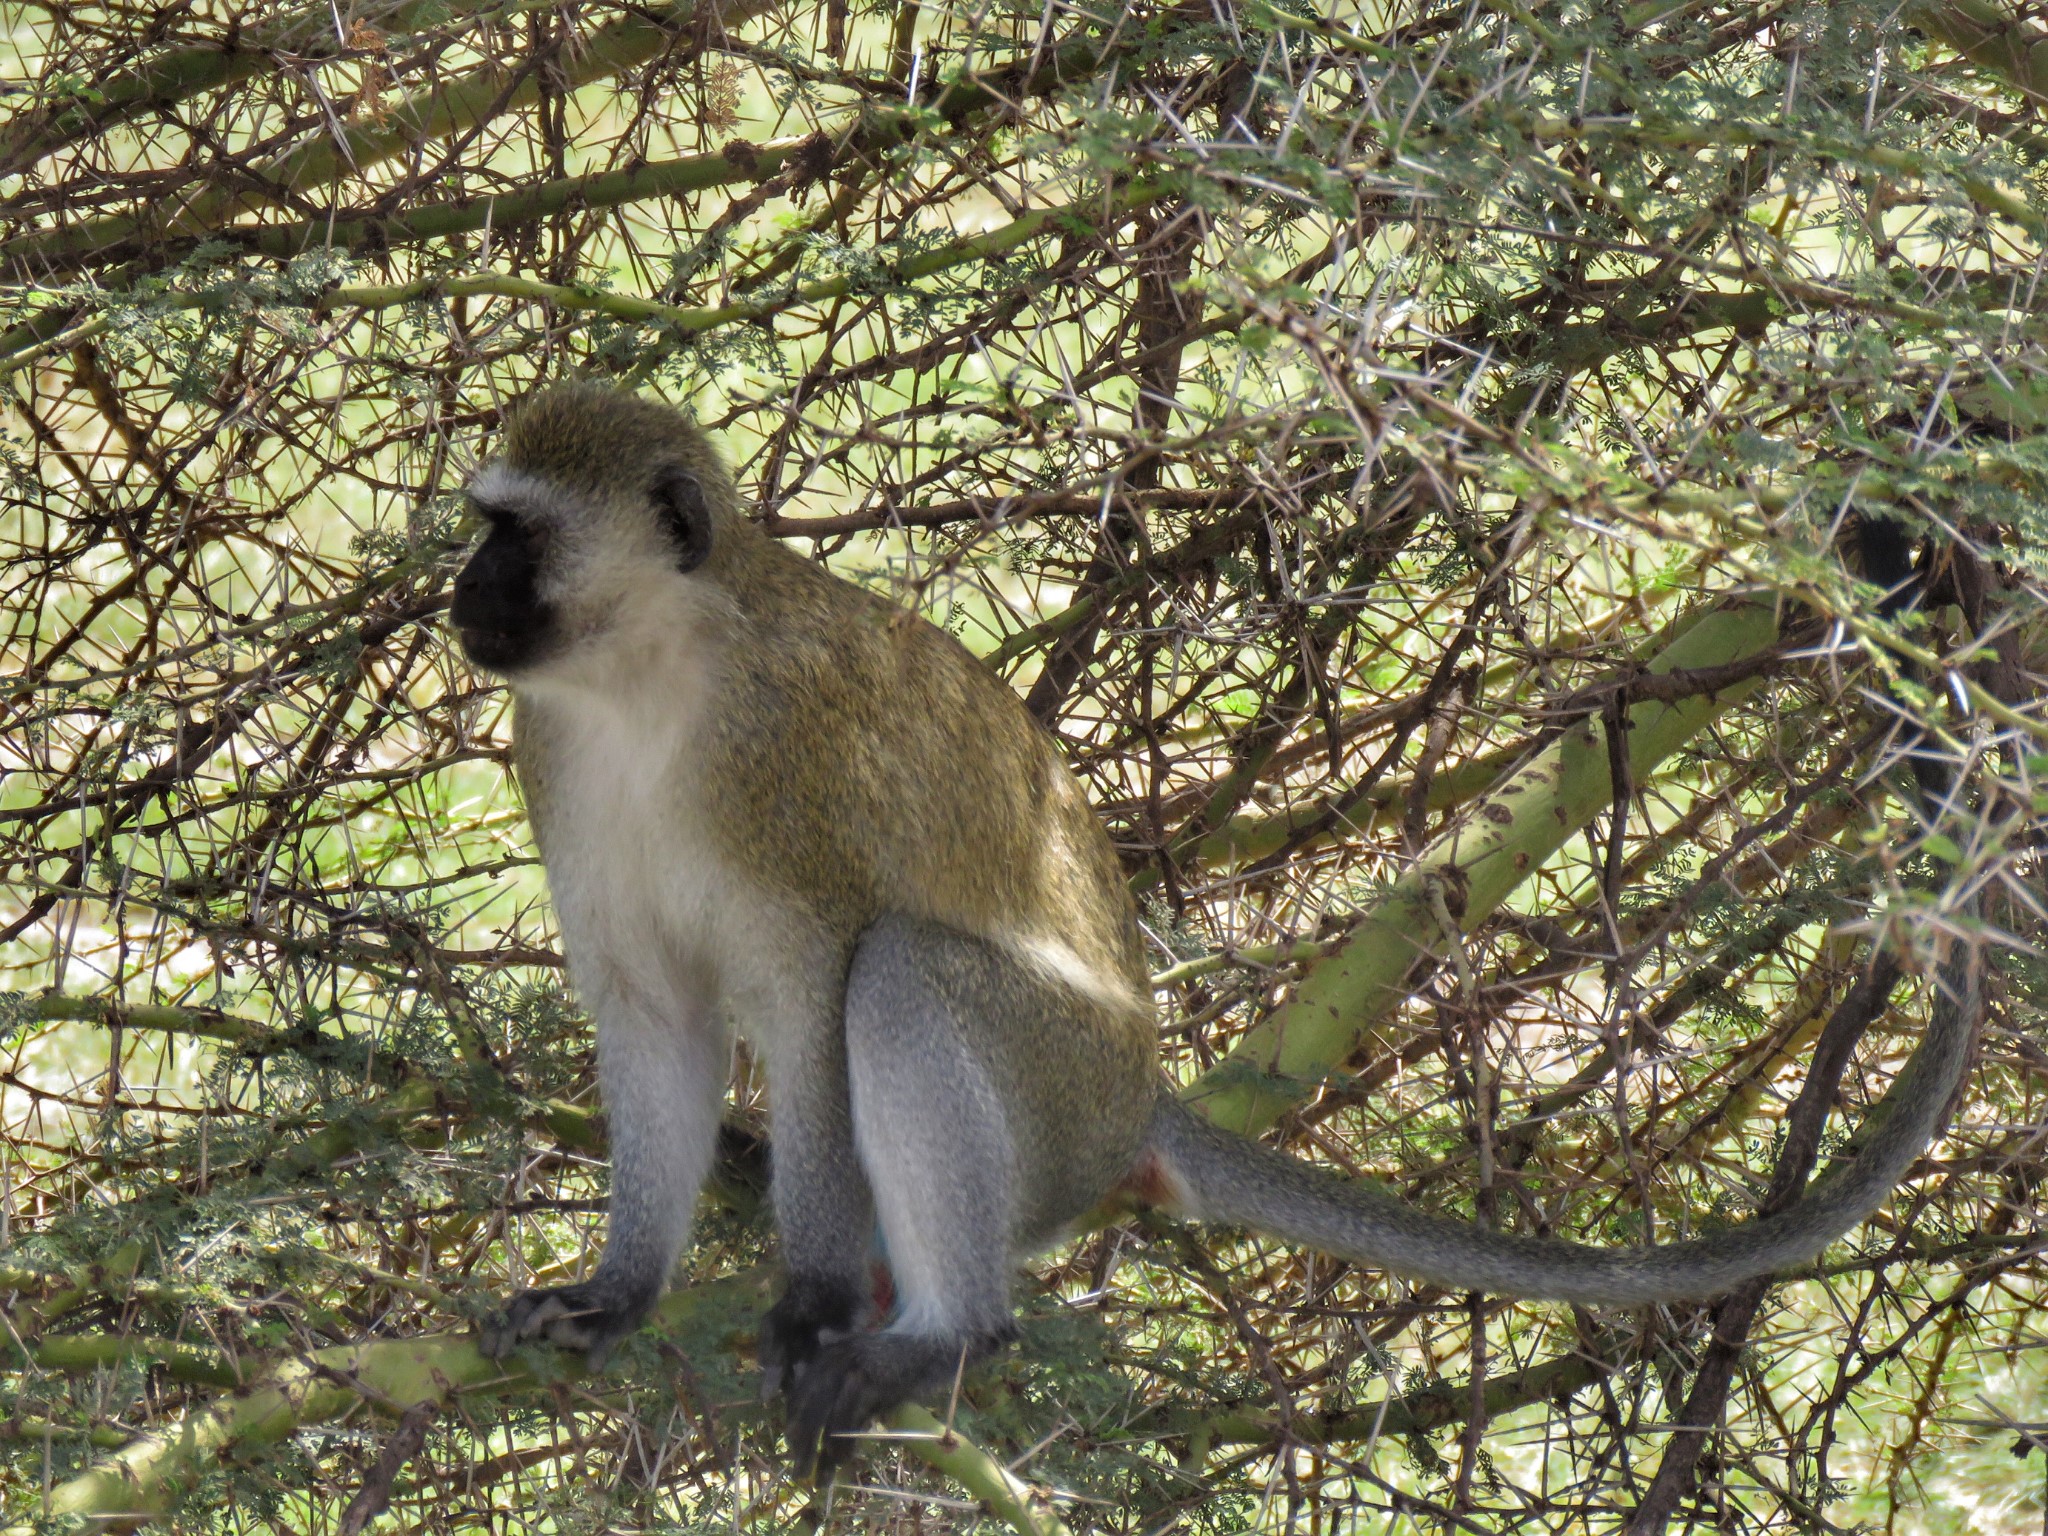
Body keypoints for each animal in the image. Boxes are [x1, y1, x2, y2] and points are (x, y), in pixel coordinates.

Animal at [460, 387, 1982, 1482]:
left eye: (513, 534)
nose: (460, 592)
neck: (652, 671)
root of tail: (1143, 1096)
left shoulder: (780, 764)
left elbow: (815, 988)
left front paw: (812, 1301)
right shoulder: (556, 755)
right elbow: (653, 1016)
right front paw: (617, 1294)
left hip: (1065, 1100)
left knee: (902, 976)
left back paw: (941, 1338)